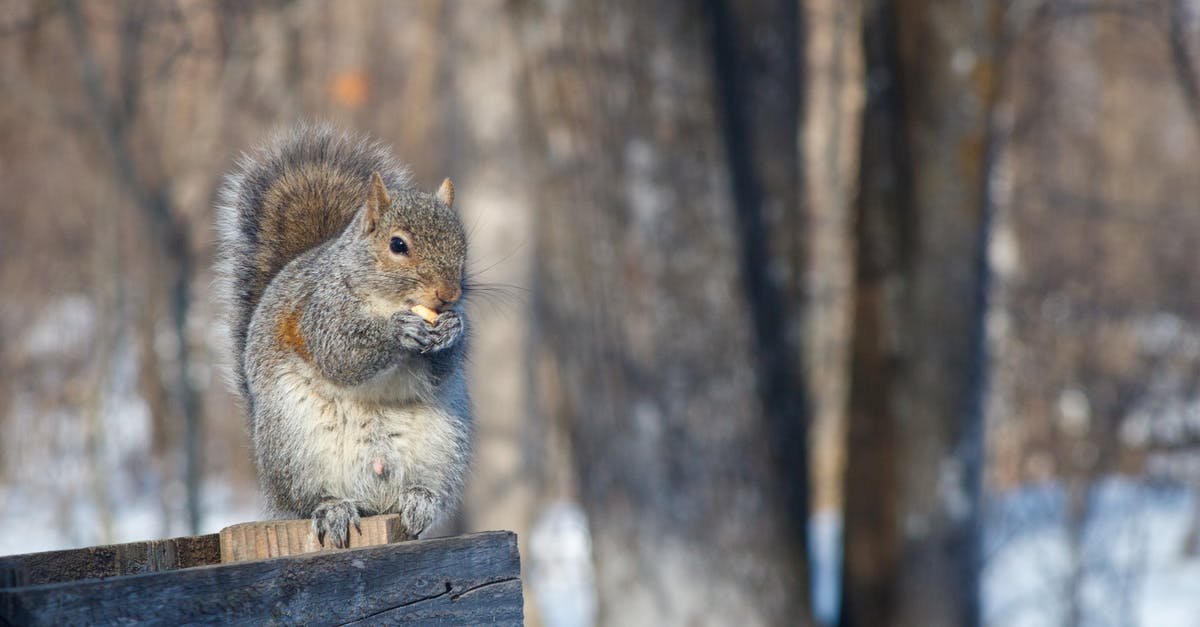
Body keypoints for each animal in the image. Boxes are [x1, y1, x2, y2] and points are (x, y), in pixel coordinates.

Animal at [218, 124, 470, 542]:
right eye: (398, 245)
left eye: (463, 246)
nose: (449, 295)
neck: (386, 301)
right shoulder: (318, 312)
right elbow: (341, 355)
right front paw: (398, 331)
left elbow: (444, 367)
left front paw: (452, 329)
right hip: (294, 446)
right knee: (308, 500)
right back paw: (333, 509)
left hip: (444, 444)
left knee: (424, 490)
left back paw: (420, 500)